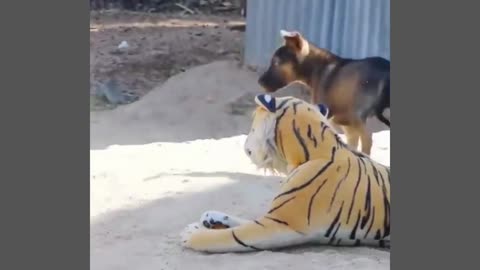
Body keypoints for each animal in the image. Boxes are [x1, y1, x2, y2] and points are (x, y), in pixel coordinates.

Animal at [258, 29, 390, 155]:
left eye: (276, 63)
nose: (260, 82)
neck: (316, 68)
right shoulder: (347, 125)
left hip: (358, 114)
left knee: (368, 139)